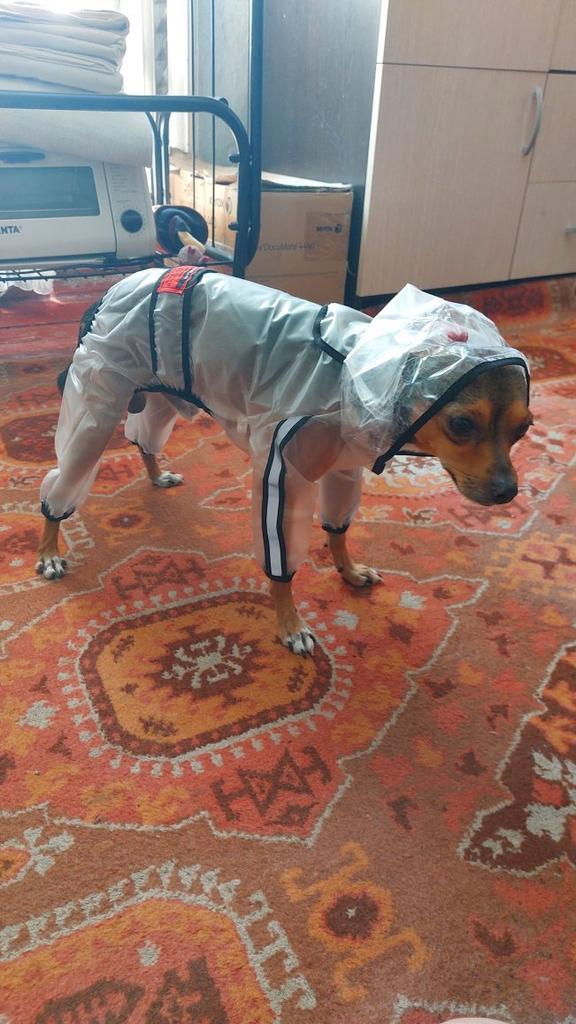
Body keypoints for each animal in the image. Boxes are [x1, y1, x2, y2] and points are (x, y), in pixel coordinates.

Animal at [37, 269, 532, 655]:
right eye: (462, 423)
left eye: (524, 428)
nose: (509, 491)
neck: (365, 375)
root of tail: (117, 287)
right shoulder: (283, 473)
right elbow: (282, 566)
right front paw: (290, 625)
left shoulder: (344, 467)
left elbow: (337, 530)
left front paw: (348, 570)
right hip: (96, 404)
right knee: (61, 481)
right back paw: (49, 549)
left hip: (159, 395)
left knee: (142, 439)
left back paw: (157, 475)